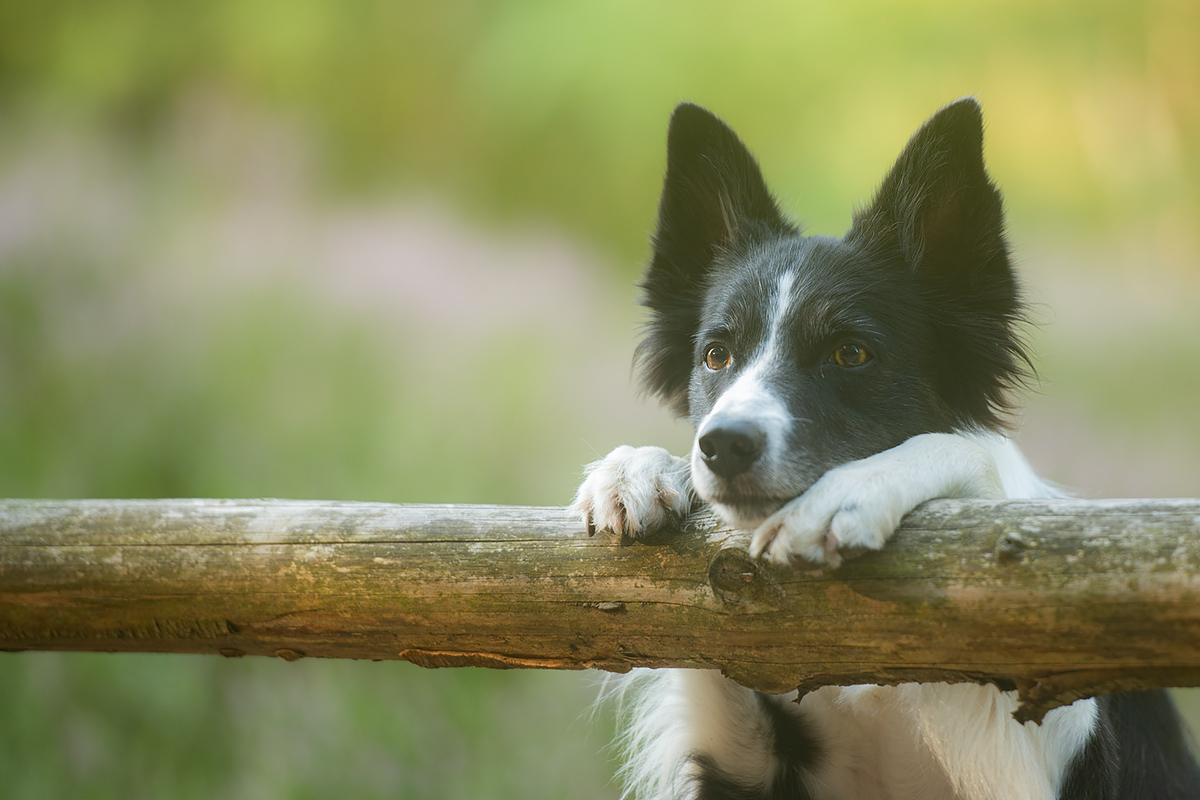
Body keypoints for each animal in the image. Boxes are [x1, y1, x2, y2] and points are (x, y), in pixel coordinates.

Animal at [573, 100, 1200, 800]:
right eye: (716, 355)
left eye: (851, 353)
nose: (723, 447)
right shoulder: (751, 773)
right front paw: (639, 468)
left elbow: (967, 456)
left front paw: (853, 491)